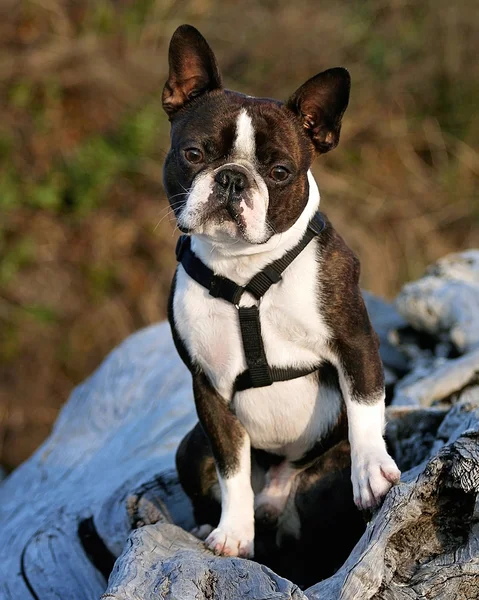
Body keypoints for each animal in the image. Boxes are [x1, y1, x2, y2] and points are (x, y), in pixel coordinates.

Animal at [163, 23, 400, 556]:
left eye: (279, 172)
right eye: (193, 154)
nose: (232, 178)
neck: (245, 273)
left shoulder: (355, 342)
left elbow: (365, 404)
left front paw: (371, 470)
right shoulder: (209, 388)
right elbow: (231, 468)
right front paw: (233, 532)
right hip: (189, 448)